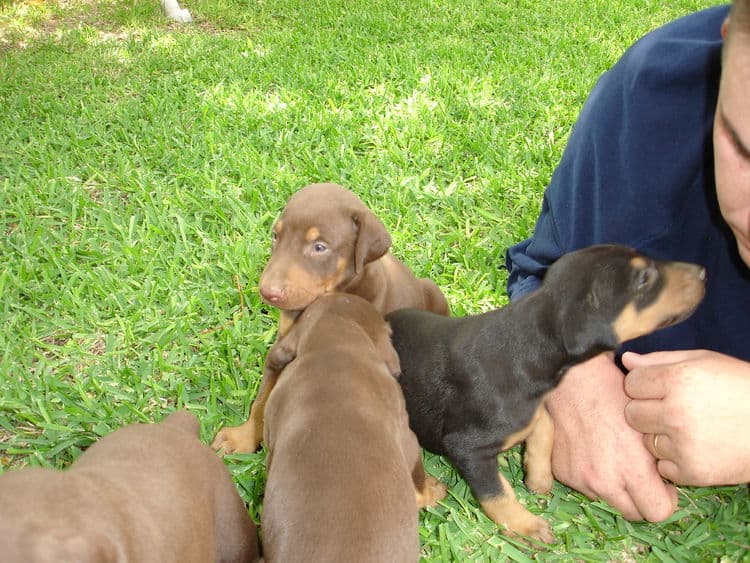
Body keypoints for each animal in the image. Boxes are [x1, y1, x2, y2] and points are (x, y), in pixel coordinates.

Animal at [212, 183, 450, 456]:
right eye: (275, 236)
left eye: (319, 247)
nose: (267, 291)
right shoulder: (281, 349)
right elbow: (261, 401)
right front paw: (243, 438)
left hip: (433, 291)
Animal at [384, 245, 708, 544]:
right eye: (644, 279)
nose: (703, 272)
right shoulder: (468, 448)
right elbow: (496, 493)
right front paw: (526, 526)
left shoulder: (531, 410)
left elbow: (546, 426)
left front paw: (537, 477)